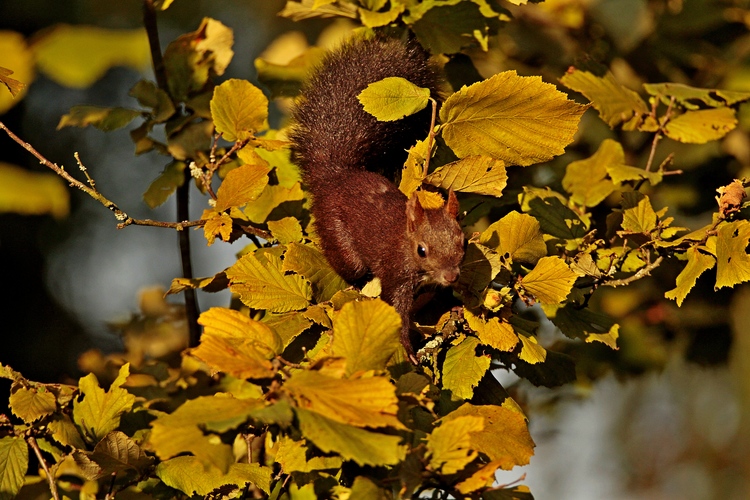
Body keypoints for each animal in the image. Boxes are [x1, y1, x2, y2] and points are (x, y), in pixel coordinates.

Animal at [292, 36, 464, 364]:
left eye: (462, 243)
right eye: (422, 250)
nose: (450, 276)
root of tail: (336, 175)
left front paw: (457, 307)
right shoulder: (396, 273)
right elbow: (395, 311)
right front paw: (407, 349)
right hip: (339, 239)